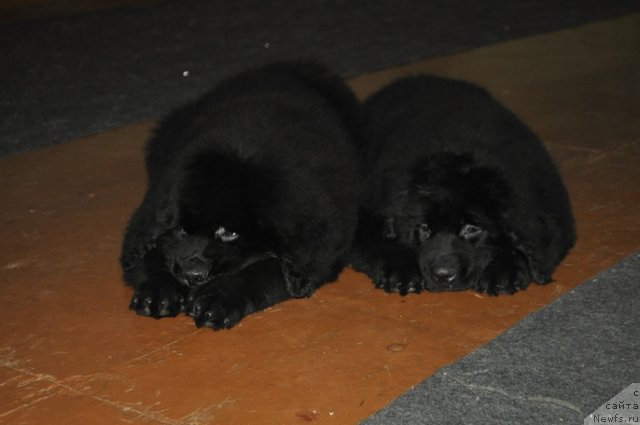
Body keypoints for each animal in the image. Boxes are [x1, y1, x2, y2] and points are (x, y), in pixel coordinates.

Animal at [119, 61, 360, 330]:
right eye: (181, 229)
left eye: (231, 234)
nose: (193, 275)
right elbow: (150, 253)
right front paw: (158, 291)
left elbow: (260, 272)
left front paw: (217, 299)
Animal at [350, 75, 576, 294]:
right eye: (424, 228)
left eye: (471, 229)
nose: (443, 275)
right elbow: (379, 244)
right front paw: (401, 271)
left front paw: (504, 272)